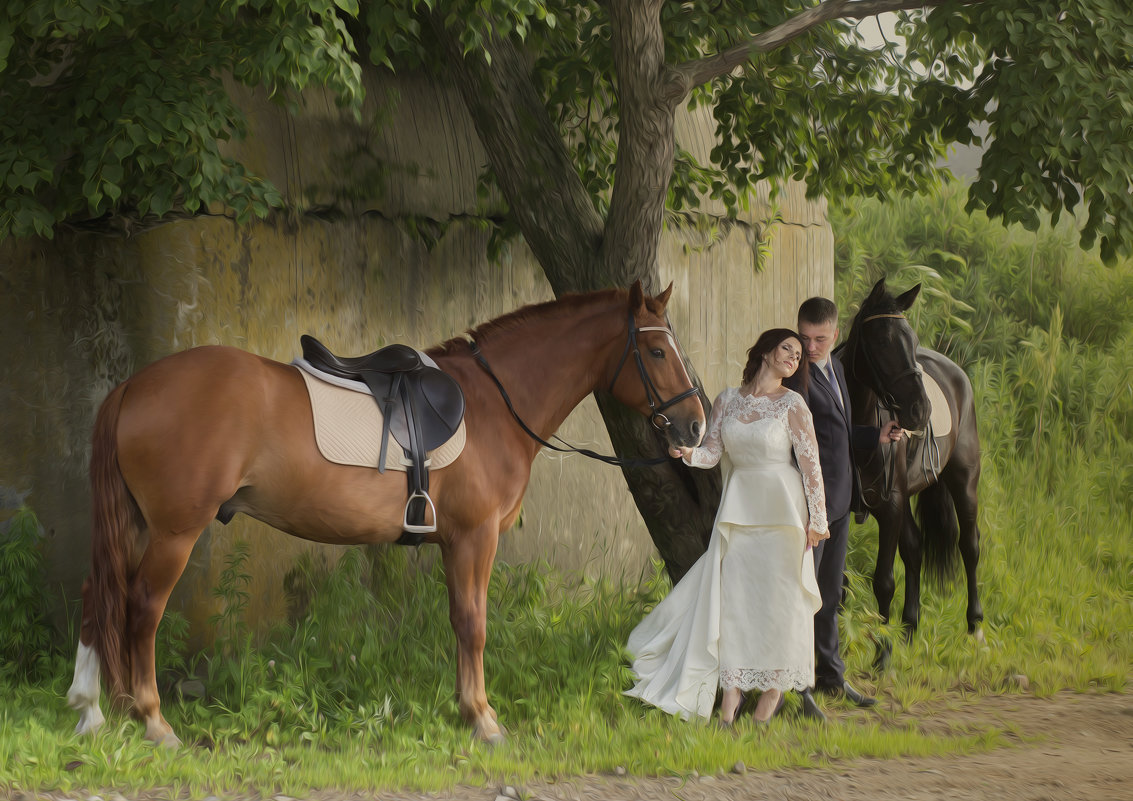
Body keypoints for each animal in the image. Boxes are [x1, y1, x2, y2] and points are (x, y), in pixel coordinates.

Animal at [66, 282, 702, 747]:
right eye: (655, 351)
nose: (694, 425)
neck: (493, 403)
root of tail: (134, 386)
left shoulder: (456, 543)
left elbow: (460, 621)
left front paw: (467, 709)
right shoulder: (474, 539)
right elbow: (473, 623)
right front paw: (483, 718)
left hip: (138, 527)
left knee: (99, 597)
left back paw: (92, 708)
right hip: (175, 533)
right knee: (141, 608)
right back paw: (153, 721)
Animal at [838, 280, 987, 670]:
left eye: (912, 340)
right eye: (882, 342)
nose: (921, 410)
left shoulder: (890, 506)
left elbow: (883, 581)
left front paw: (882, 656)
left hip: (963, 483)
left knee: (970, 546)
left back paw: (975, 628)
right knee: (915, 548)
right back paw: (908, 629)